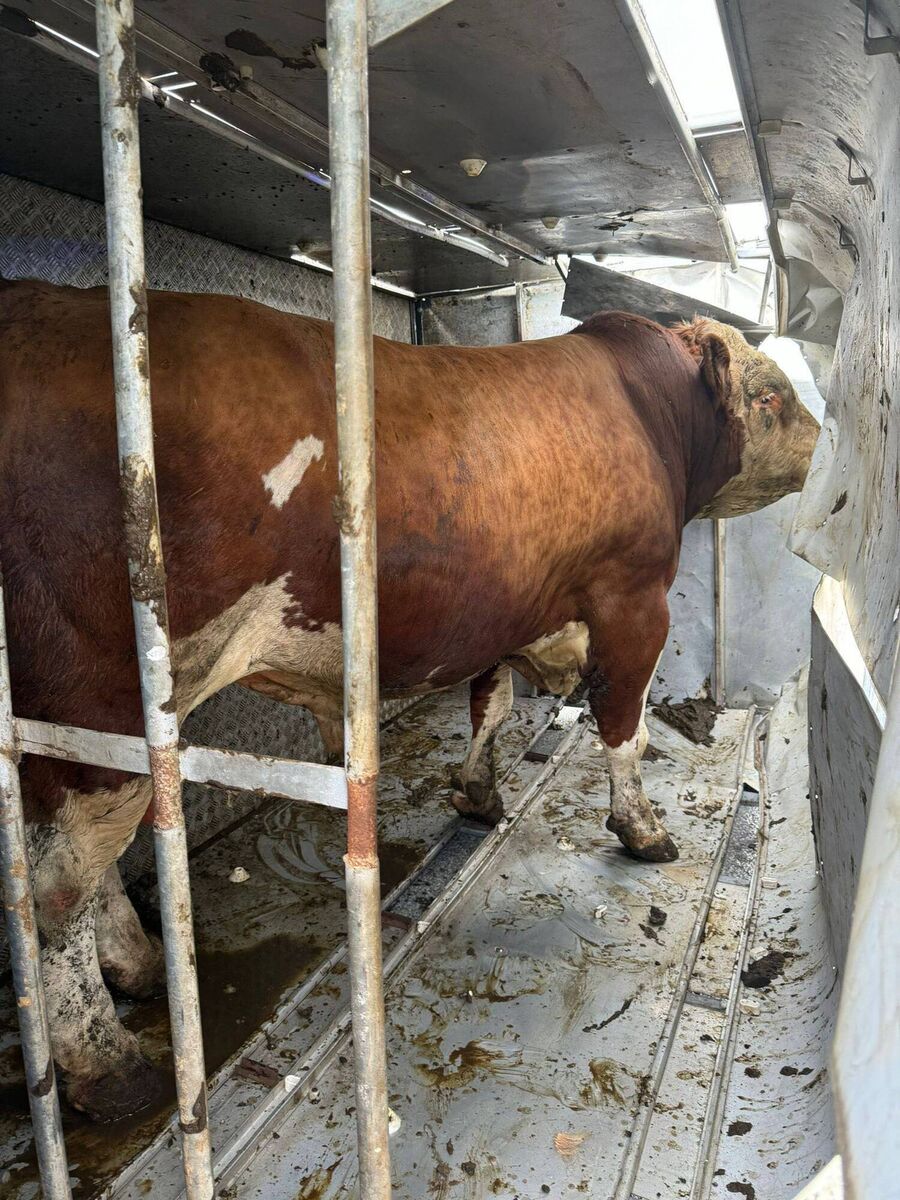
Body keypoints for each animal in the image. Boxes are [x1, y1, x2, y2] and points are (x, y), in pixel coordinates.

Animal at [0, 280, 820, 1120]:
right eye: (772, 395)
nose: (824, 442)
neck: (649, 412)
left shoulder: (505, 608)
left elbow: (490, 707)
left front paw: (477, 794)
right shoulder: (634, 600)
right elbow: (623, 731)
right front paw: (643, 830)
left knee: (78, 863)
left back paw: (137, 964)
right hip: (98, 696)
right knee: (57, 884)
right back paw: (108, 1067)